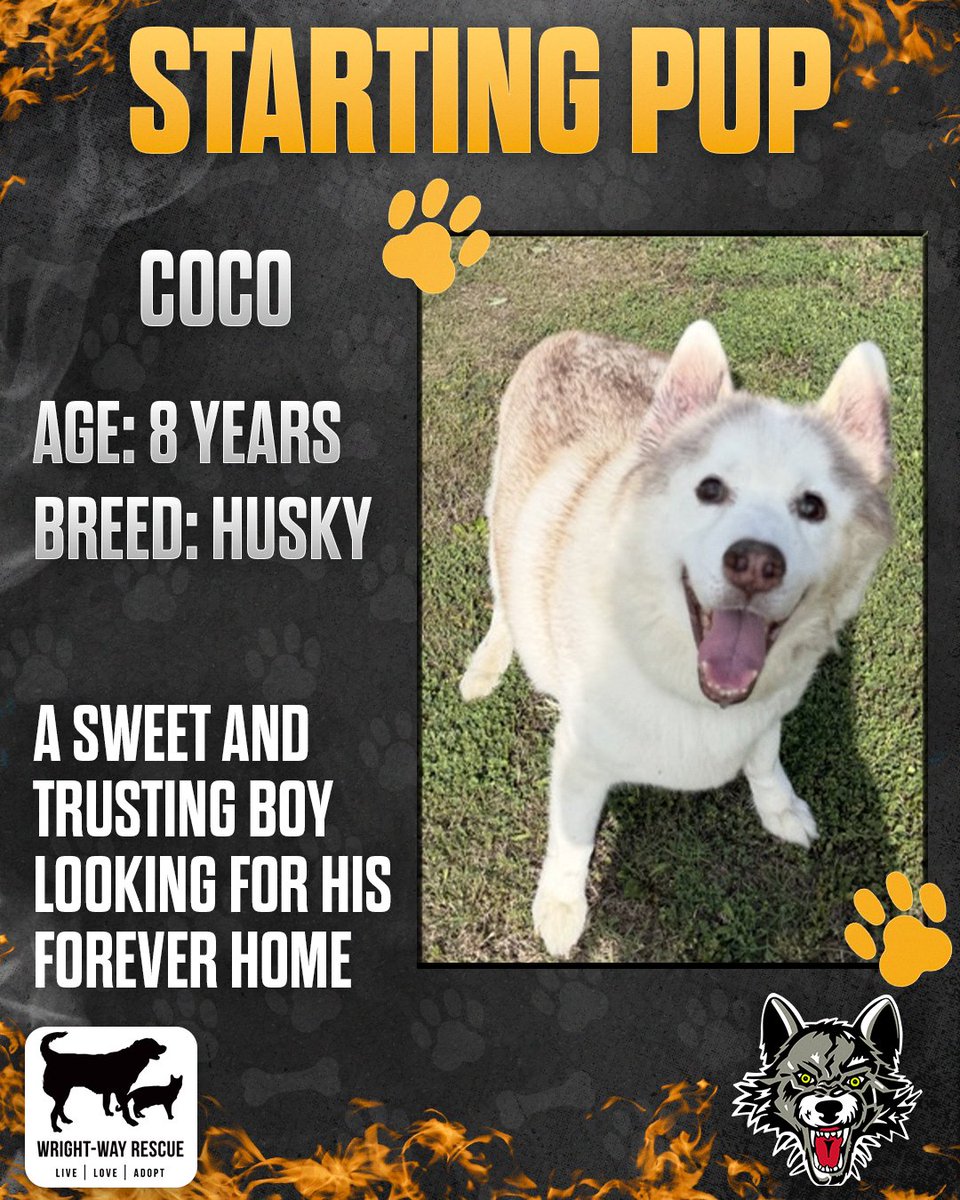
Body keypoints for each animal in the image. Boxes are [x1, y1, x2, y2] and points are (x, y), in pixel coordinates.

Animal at [460, 321, 893, 958]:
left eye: (812, 506)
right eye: (710, 489)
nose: (755, 564)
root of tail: (571, 335)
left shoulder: (766, 712)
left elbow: (766, 760)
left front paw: (780, 808)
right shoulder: (580, 756)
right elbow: (572, 840)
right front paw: (562, 905)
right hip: (502, 526)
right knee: (504, 603)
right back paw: (487, 665)